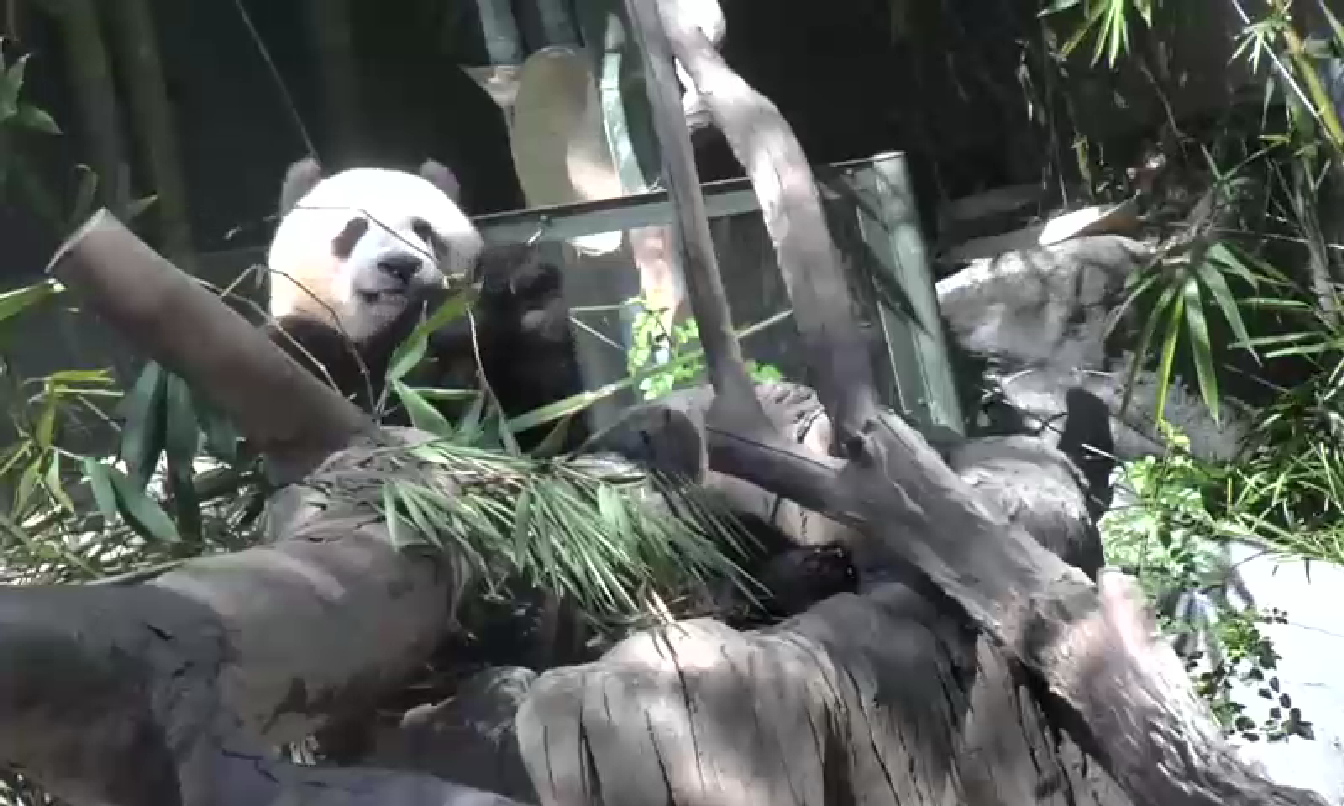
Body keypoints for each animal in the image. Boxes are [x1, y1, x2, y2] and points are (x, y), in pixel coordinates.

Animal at [262, 156, 588, 452]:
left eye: (424, 230)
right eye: (355, 228)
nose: (400, 264)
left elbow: (544, 421)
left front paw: (524, 290)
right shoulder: (295, 351)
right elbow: (377, 404)